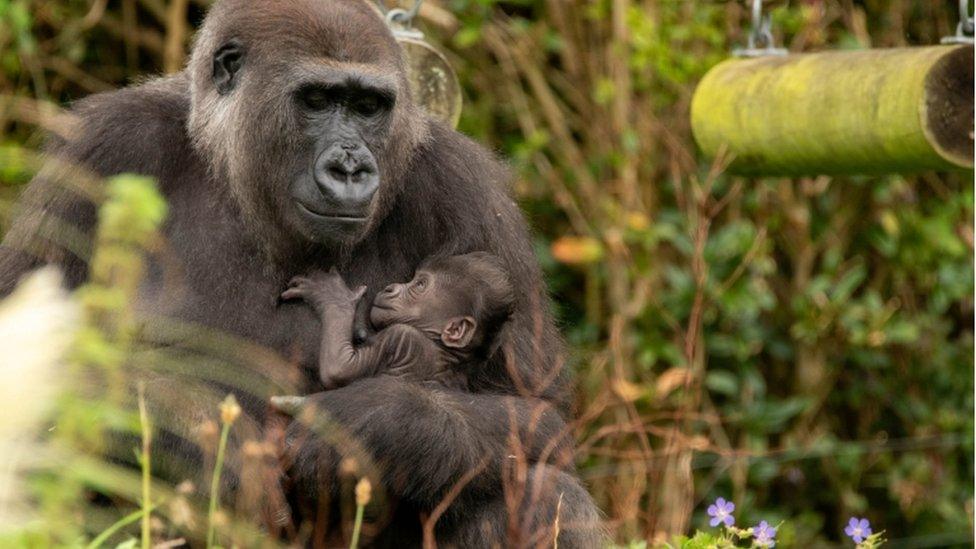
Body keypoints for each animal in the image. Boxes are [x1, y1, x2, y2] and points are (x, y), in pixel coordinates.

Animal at [280, 250, 516, 388]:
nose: (390, 288)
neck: (443, 348)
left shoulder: (402, 337)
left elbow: (339, 370)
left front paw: (334, 297)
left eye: (419, 284)